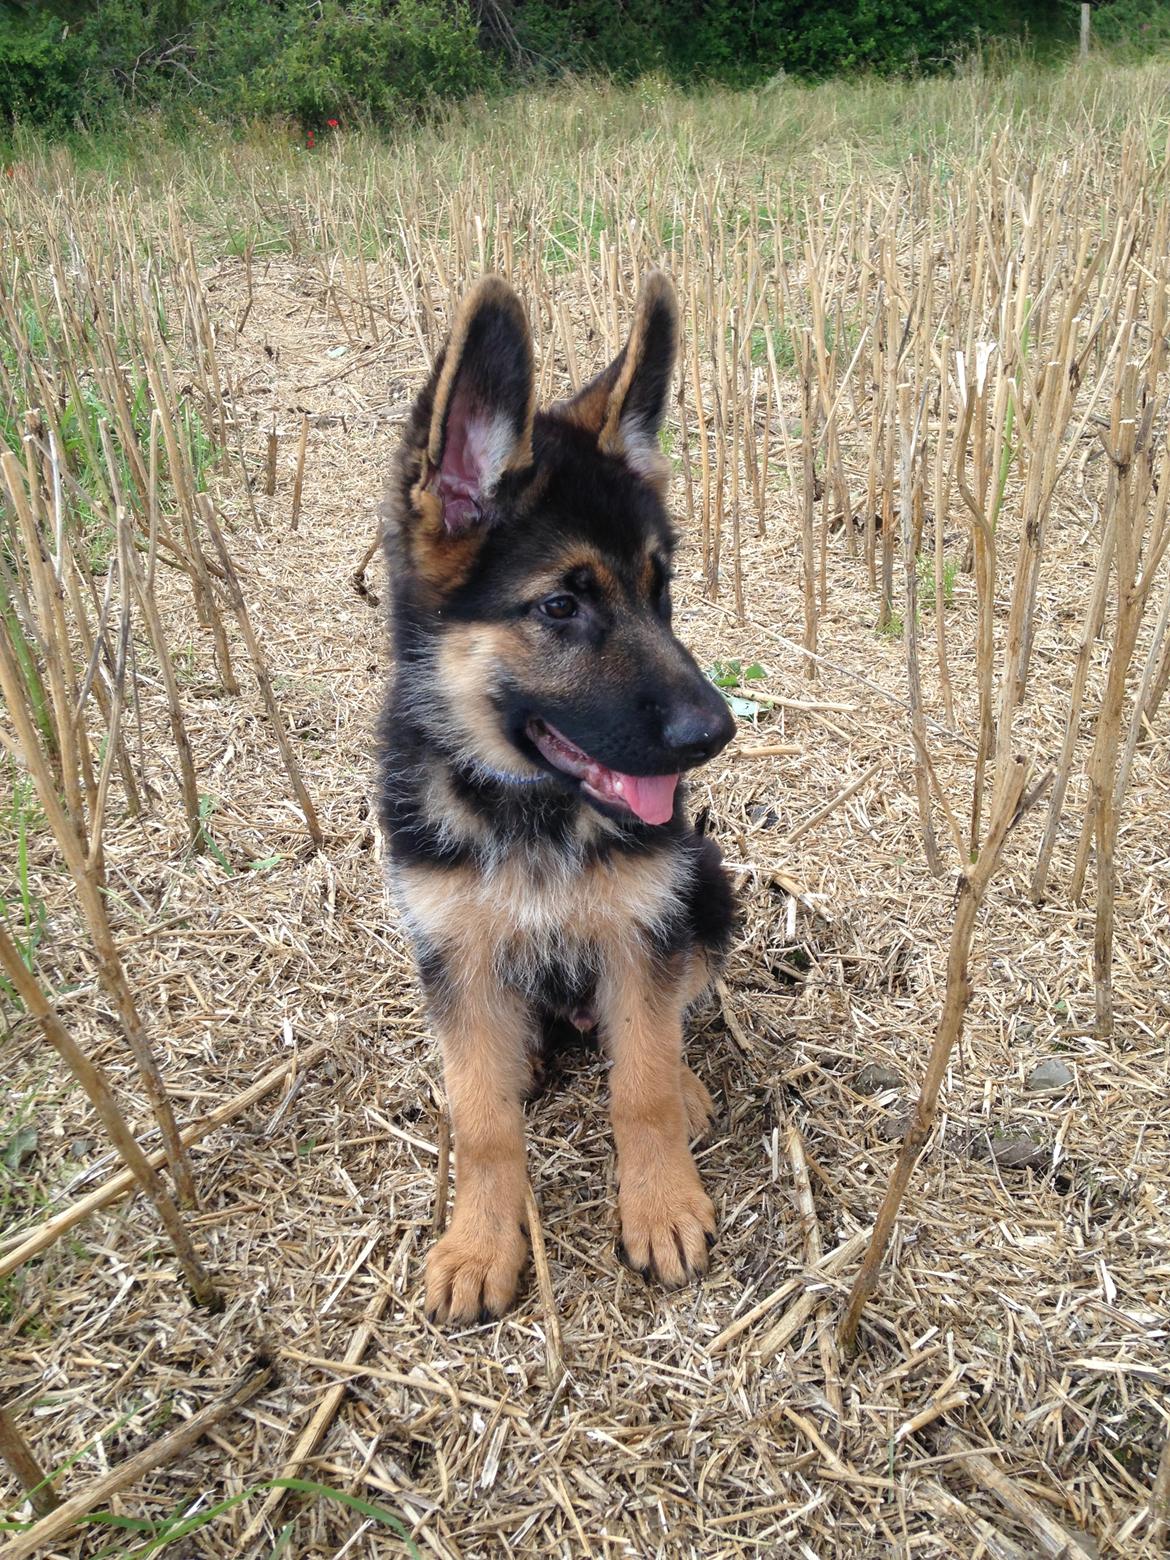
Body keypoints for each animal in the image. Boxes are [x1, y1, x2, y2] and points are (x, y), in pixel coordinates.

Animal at [380, 274, 736, 1322]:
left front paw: (660, 1203)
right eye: (560, 607)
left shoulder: (643, 925)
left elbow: (642, 1083)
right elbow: (484, 1119)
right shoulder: (451, 949)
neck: (532, 808)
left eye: (662, 591)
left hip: (705, 882)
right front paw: (480, 1242)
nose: (716, 731)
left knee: (673, 1010)